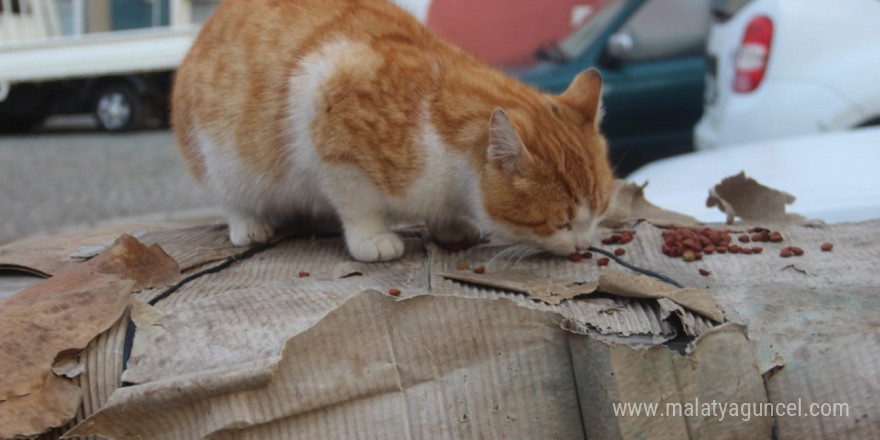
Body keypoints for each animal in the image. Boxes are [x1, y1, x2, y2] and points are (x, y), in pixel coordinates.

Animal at [170, 0, 612, 262]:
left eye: (601, 213)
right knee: (233, 198)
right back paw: (250, 223)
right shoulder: (327, 111)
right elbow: (358, 203)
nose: (584, 245)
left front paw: (449, 225)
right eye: (561, 222)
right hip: (220, 160)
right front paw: (372, 239)